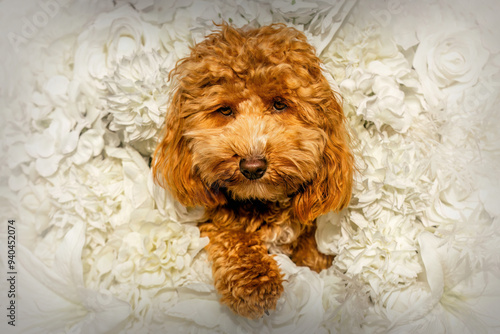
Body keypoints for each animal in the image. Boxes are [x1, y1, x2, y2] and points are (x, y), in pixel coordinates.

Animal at [152, 22, 352, 320]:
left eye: (280, 104)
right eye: (225, 110)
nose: (253, 167)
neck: (262, 204)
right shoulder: (215, 220)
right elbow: (233, 238)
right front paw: (255, 285)